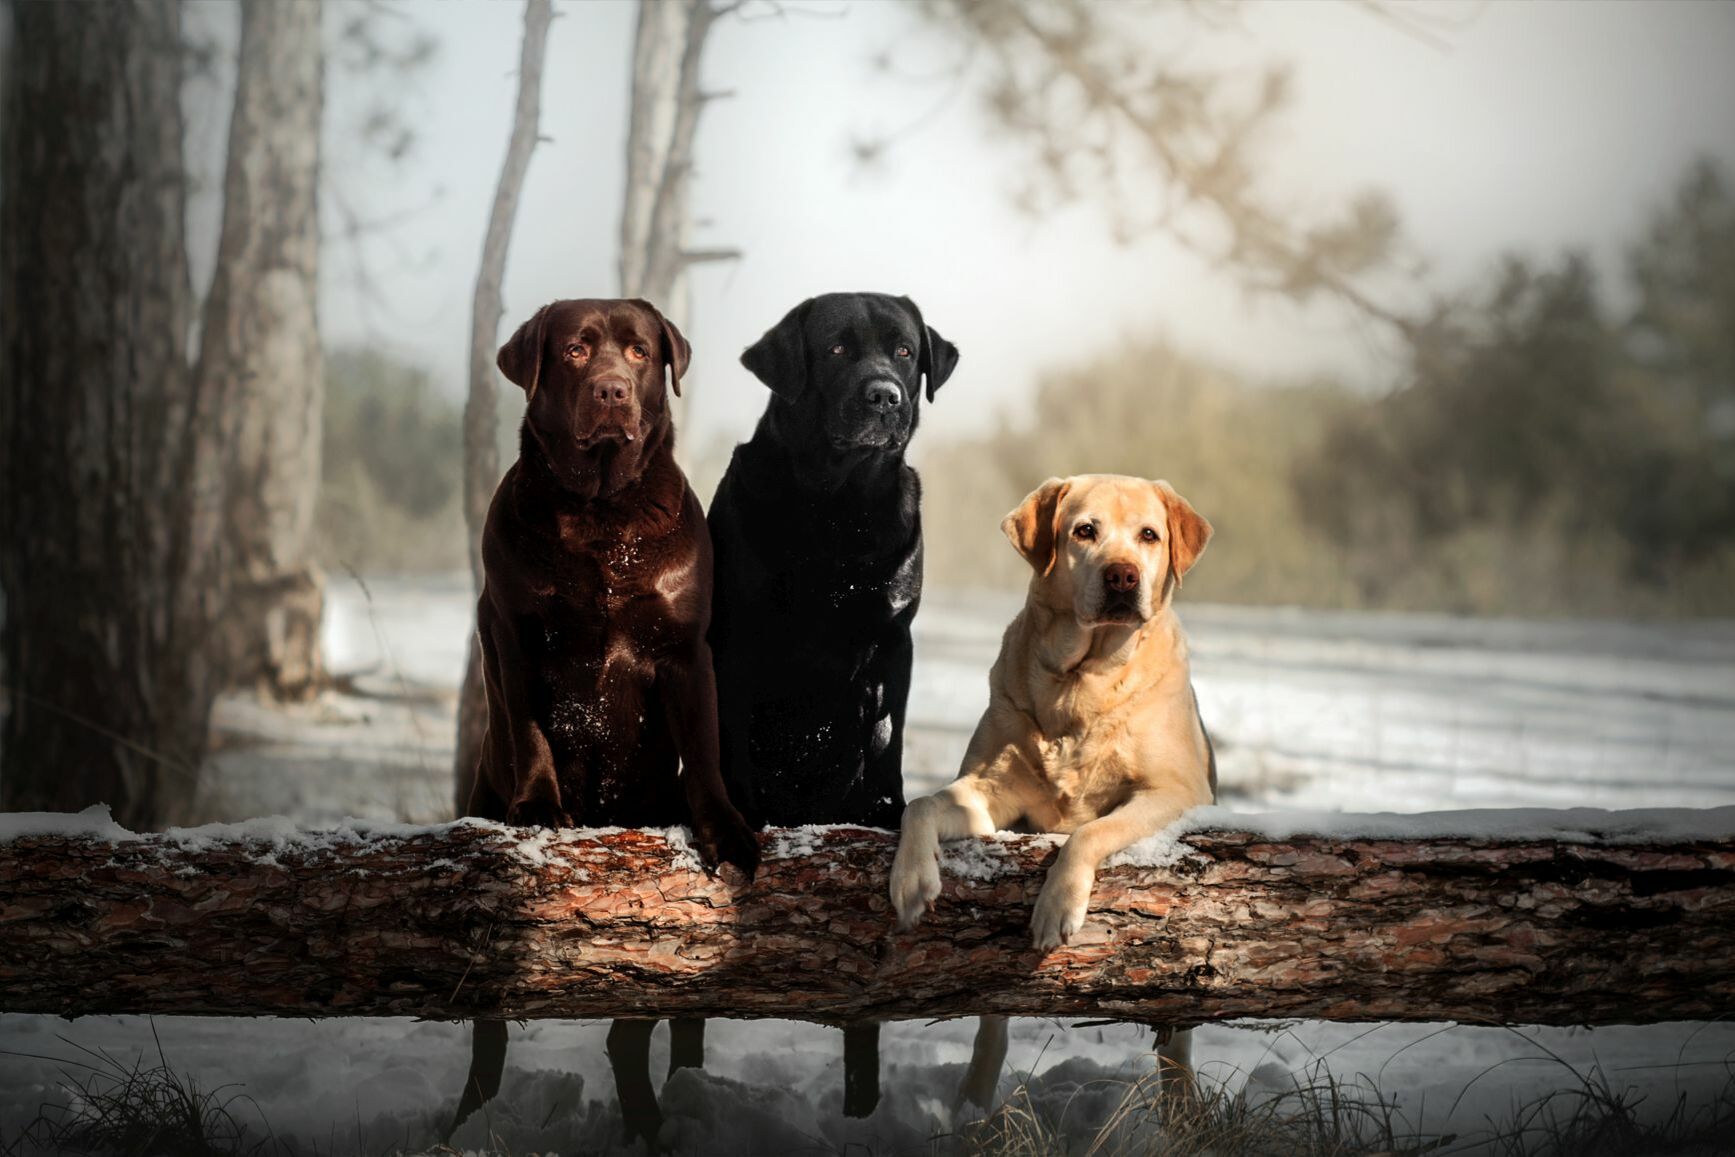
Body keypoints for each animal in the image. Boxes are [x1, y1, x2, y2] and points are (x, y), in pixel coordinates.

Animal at [697, 294, 957, 1117]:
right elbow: (734, 753)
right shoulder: (735, 648)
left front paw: (885, 818)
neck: (840, 505)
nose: (885, 396)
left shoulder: (893, 646)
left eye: (904, 351)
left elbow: (890, 745)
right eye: (838, 348)